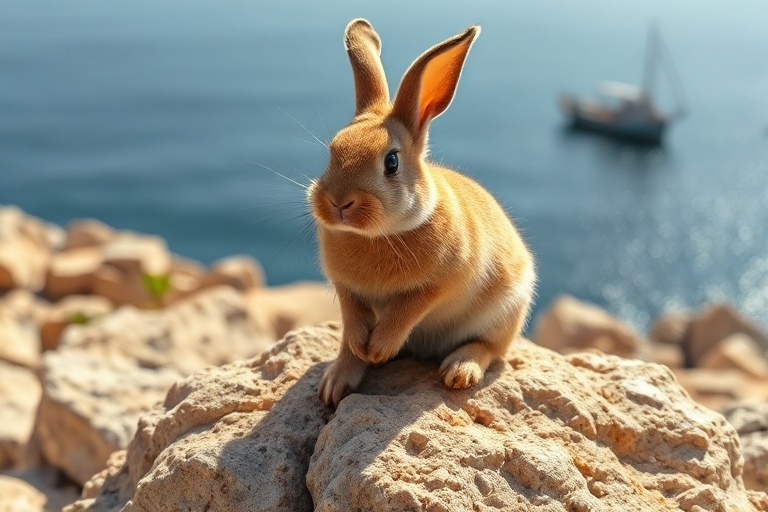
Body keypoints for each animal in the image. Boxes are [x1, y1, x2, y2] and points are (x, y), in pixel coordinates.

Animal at [308, 19, 536, 407]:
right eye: (332, 151)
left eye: (391, 162)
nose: (338, 202)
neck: (378, 236)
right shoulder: (345, 288)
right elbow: (351, 322)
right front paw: (354, 361)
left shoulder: (443, 283)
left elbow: (409, 308)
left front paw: (379, 348)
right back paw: (335, 384)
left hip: (506, 311)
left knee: (490, 349)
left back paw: (460, 371)